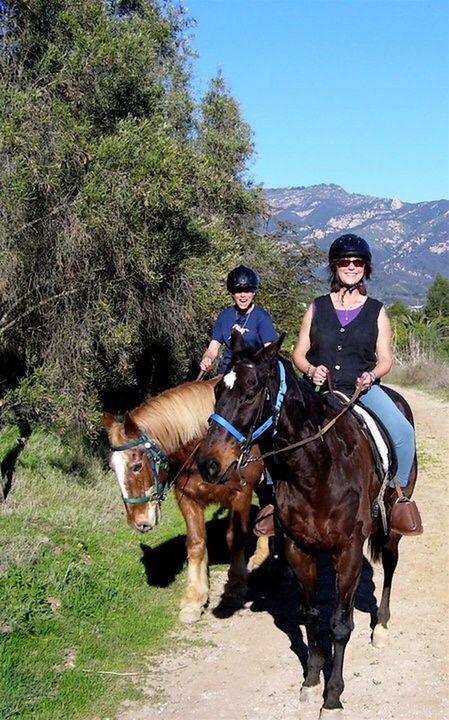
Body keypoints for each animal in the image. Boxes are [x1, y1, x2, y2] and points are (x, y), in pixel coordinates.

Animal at [103, 376, 268, 624]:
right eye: (113, 468)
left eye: (137, 466)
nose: (138, 521)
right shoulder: (187, 498)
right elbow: (195, 543)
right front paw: (194, 599)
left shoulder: (242, 494)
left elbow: (236, 538)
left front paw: (234, 590)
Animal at [198, 334, 418, 716]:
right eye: (217, 390)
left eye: (251, 391)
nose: (209, 464)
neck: (316, 468)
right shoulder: (297, 548)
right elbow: (312, 615)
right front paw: (312, 680)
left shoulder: (348, 551)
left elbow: (341, 624)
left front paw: (333, 697)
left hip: (391, 527)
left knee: (390, 565)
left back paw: (381, 627)